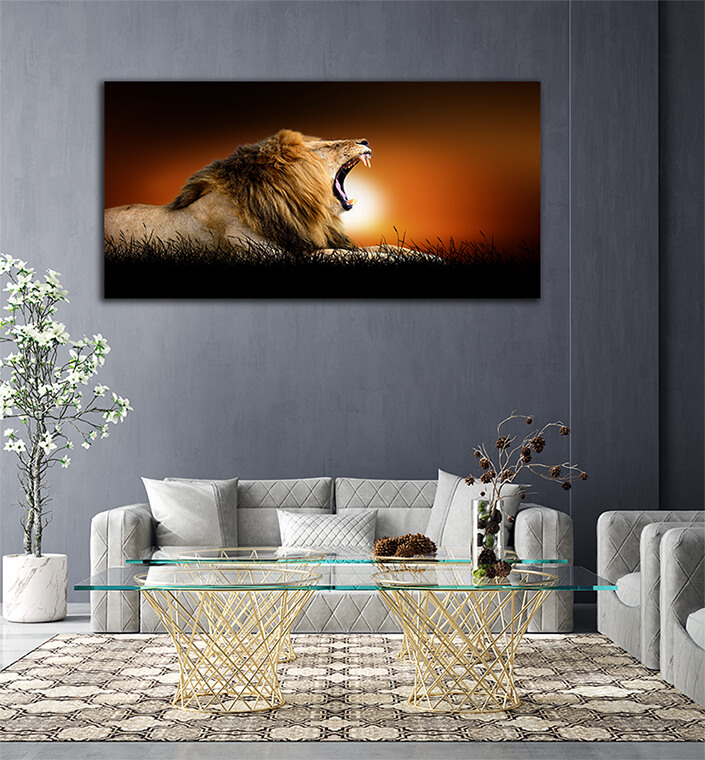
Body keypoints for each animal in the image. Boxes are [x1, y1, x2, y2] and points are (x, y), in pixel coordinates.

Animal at [105, 129, 427, 259]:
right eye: (328, 146)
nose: (365, 141)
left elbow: (380, 248)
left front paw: (423, 256)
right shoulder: (278, 258)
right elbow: (352, 257)